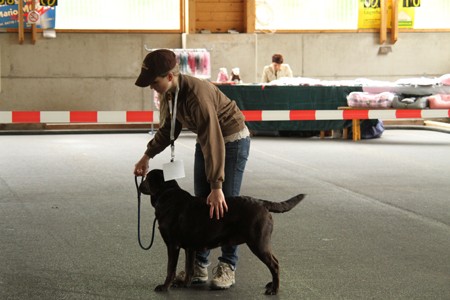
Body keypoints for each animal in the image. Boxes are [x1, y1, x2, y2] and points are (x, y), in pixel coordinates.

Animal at [139, 169, 304, 296]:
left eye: (146, 177)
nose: (140, 184)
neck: (168, 195)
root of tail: (262, 203)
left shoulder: (173, 245)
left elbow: (170, 269)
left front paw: (164, 286)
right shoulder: (190, 247)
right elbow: (189, 267)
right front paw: (183, 284)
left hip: (259, 242)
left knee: (275, 264)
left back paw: (274, 290)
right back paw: (271, 285)